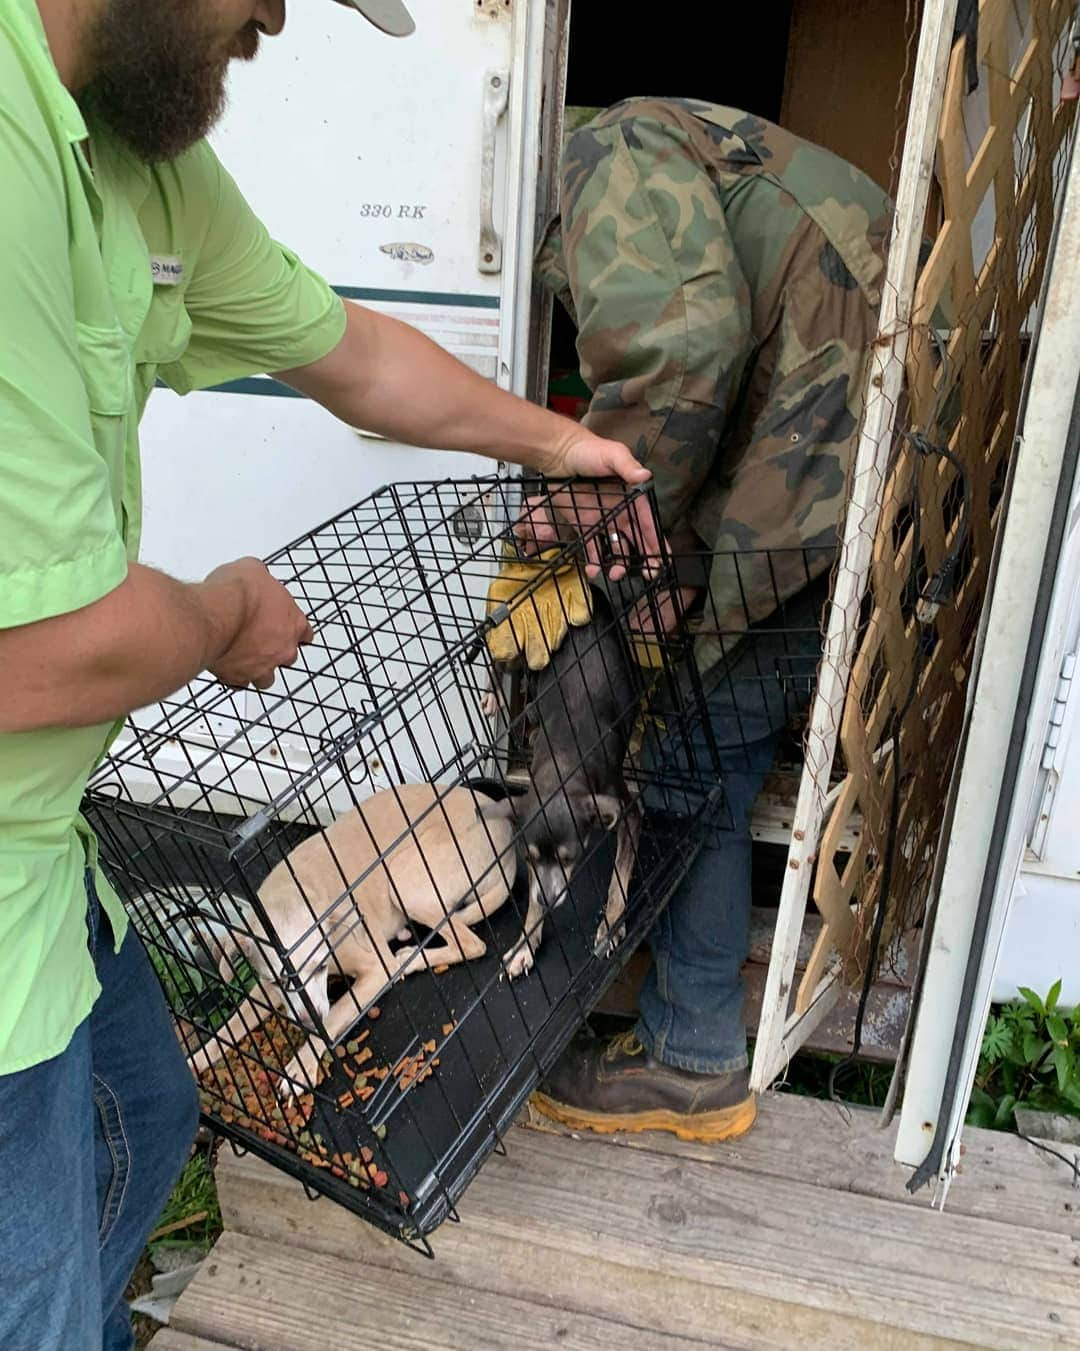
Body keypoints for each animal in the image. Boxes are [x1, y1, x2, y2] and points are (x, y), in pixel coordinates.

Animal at [186, 788, 519, 1091]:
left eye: (320, 967)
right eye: (279, 981)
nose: (309, 1020)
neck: (292, 894)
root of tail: (509, 842)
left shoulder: (374, 969)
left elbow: (333, 1020)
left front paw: (302, 1066)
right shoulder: (266, 987)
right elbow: (230, 1027)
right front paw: (196, 1060)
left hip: (403, 878)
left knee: (471, 944)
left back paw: (408, 959)